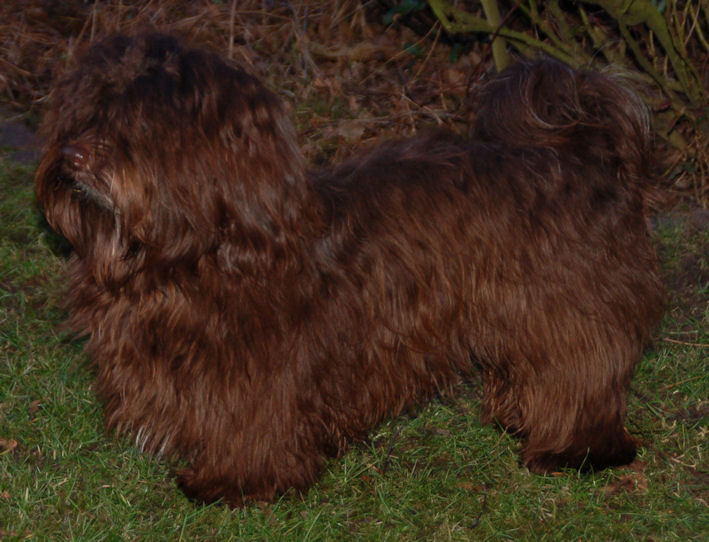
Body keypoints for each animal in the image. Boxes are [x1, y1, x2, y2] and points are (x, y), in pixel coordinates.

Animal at [34, 33, 664, 510]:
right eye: (90, 110)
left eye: (145, 125)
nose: (71, 156)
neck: (199, 254)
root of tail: (585, 153)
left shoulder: (262, 371)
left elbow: (250, 423)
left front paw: (237, 483)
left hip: (567, 310)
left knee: (581, 370)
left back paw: (574, 448)